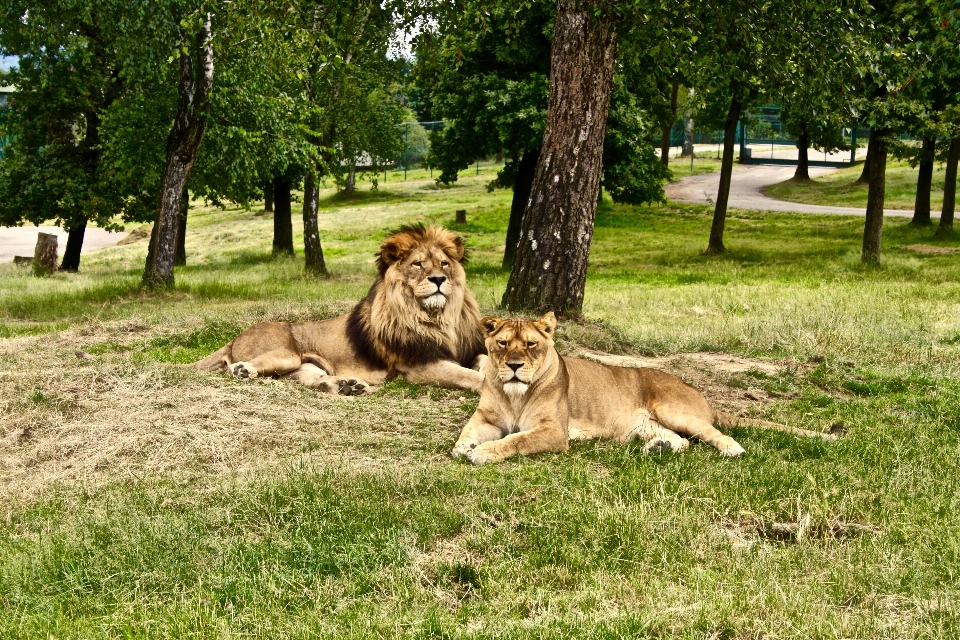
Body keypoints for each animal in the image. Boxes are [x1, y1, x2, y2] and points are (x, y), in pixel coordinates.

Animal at [190, 225, 484, 396]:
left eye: (444, 263)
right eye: (418, 264)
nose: (438, 279)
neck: (437, 316)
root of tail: (235, 337)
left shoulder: (468, 349)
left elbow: (482, 362)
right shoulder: (418, 365)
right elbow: (468, 375)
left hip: (301, 366)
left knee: (309, 380)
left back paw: (347, 385)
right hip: (286, 354)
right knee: (240, 368)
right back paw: (244, 371)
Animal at [454, 312, 836, 462]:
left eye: (531, 345)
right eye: (503, 344)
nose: (515, 366)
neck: (514, 395)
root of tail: (699, 394)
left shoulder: (553, 432)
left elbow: (516, 440)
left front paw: (484, 452)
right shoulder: (487, 417)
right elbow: (467, 431)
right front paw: (465, 446)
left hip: (674, 409)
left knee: (713, 434)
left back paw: (733, 449)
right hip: (646, 425)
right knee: (682, 441)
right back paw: (659, 448)